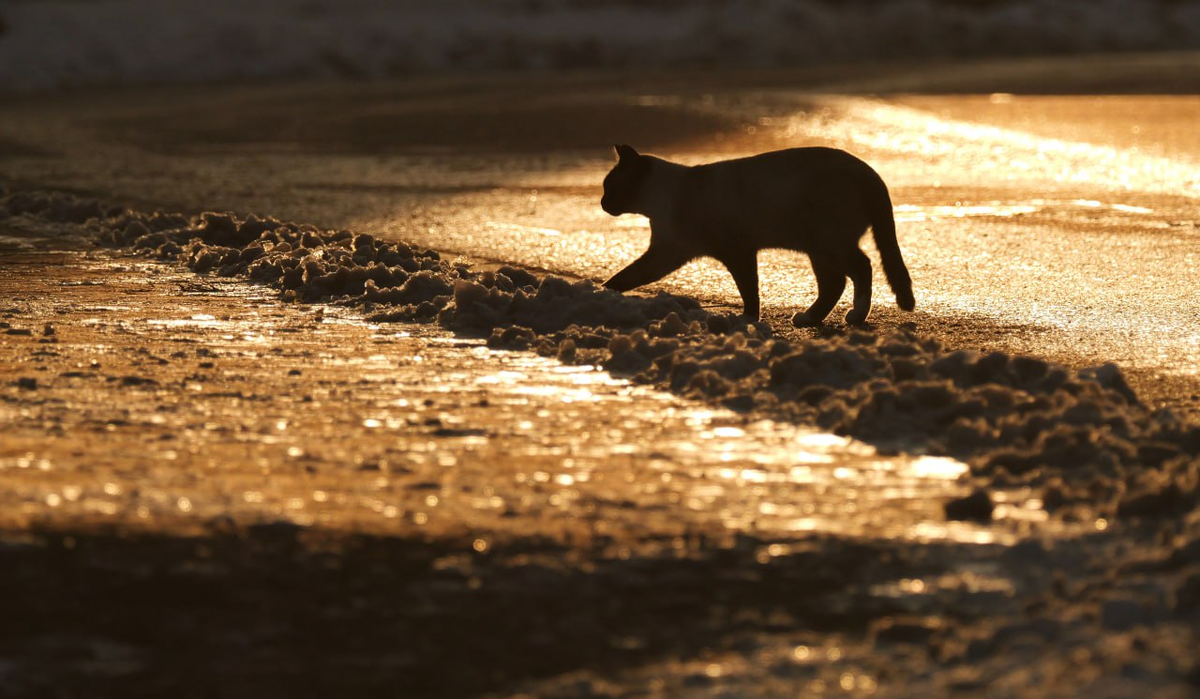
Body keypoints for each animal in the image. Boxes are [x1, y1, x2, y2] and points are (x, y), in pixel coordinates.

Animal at [604, 146, 912, 326]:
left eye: (610, 187)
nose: (602, 202)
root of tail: (871, 173)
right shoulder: (667, 253)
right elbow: (626, 277)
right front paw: (604, 294)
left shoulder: (737, 252)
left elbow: (749, 290)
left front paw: (748, 319)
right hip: (817, 249)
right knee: (835, 283)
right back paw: (809, 319)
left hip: (827, 244)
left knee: (862, 267)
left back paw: (855, 316)